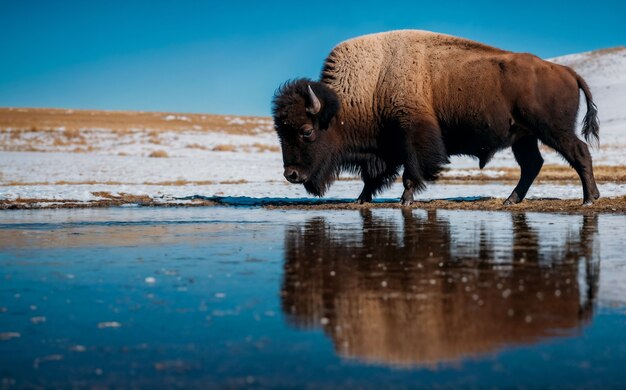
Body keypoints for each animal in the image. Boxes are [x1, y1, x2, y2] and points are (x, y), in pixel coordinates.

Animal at [270, 30, 596, 206]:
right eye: (280, 132)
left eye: (306, 131)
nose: (291, 175)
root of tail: (567, 72)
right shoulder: (385, 147)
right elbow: (374, 176)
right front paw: (362, 199)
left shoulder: (413, 135)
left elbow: (410, 172)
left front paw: (406, 201)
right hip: (524, 136)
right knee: (532, 164)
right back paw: (511, 200)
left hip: (552, 130)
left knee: (579, 152)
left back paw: (590, 198)